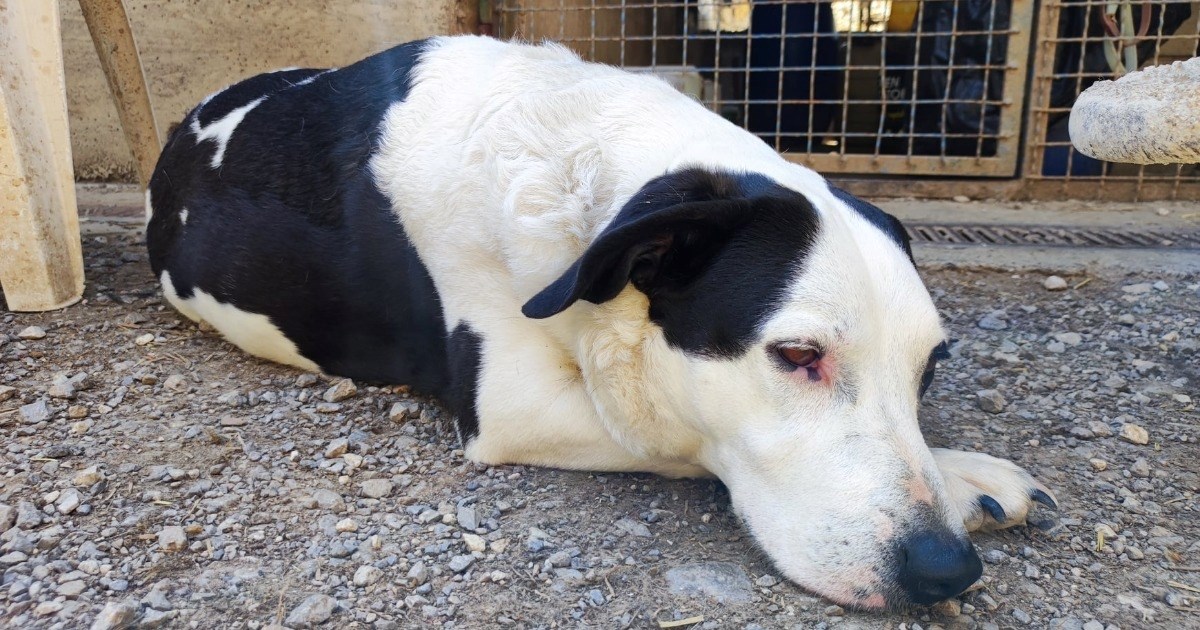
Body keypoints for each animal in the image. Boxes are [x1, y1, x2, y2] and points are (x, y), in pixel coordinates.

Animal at [145, 35, 1056, 609]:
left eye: (929, 369)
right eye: (798, 354)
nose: (946, 571)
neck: (580, 167)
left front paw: (961, 473)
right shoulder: (513, 404)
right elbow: (670, 430)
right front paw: (966, 476)